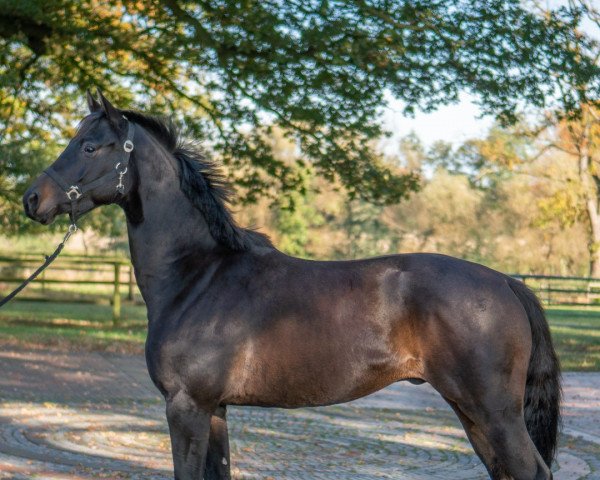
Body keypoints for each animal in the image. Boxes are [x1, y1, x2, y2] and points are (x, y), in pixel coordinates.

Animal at [21, 91, 560, 480]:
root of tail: (506, 281)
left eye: (89, 147)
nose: (32, 199)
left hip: (494, 412)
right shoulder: (214, 409)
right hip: (470, 410)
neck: (197, 276)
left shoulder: (185, 407)